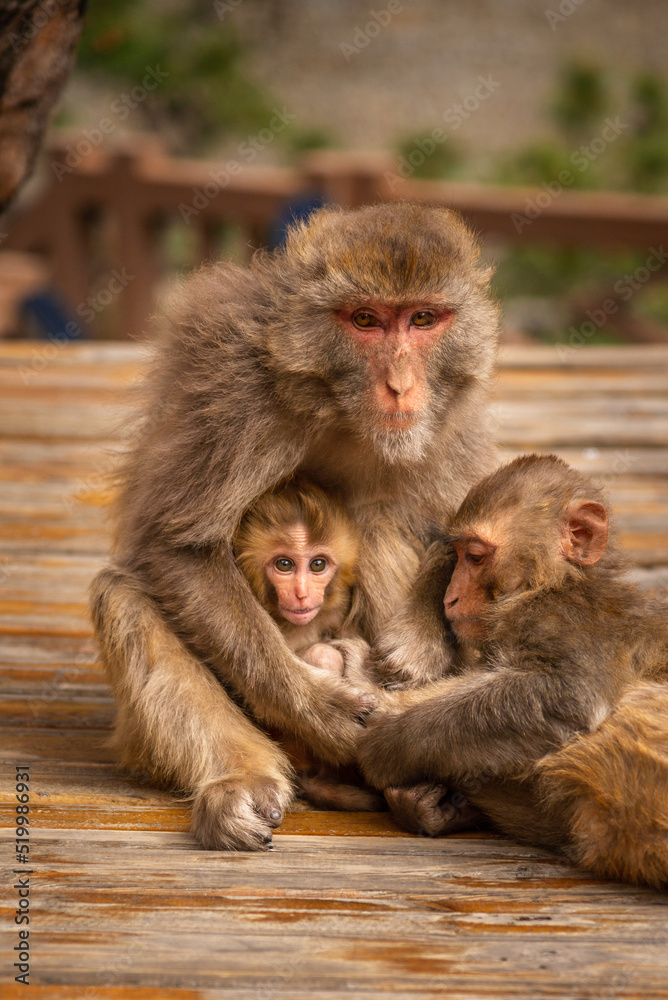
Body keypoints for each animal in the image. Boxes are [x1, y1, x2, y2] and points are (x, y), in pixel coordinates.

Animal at [88, 203, 498, 852]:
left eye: (423, 319)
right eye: (365, 320)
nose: (401, 386)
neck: (338, 405)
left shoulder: (452, 419)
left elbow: (463, 538)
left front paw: (420, 642)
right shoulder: (236, 390)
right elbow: (179, 547)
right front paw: (319, 710)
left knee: (385, 516)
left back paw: (417, 794)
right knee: (122, 595)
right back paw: (241, 780)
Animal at [360, 454, 668, 884]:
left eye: (474, 556)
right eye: (458, 555)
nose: (451, 598)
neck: (554, 584)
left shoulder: (571, 620)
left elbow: (568, 691)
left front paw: (386, 741)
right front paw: (424, 803)